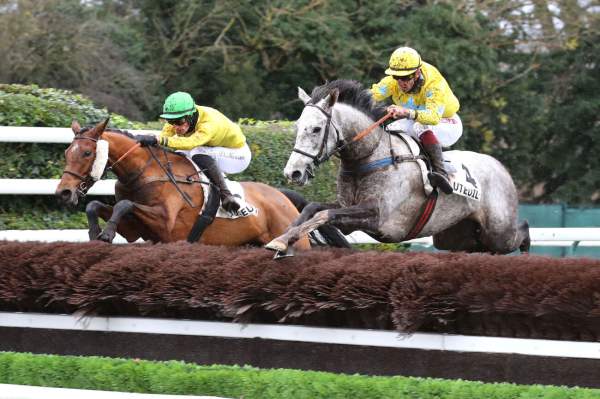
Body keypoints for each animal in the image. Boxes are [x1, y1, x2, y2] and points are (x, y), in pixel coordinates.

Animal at [55, 118, 342, 253]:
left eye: (87, 153)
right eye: (67, 151)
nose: (64, 192)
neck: (144, 172)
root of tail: (282, 197)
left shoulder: (167, 224)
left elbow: (125, 203)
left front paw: (104, 233)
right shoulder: (136, 229)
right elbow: (96, 204)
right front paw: (96, 232)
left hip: (293, 240)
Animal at [268, 80, 528, 256]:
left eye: (316, 129)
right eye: (298, 126)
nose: (293, 172)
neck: (369, 157)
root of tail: (500, 167)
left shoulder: (378, 217)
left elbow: (324, 215)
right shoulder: (348, 209)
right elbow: (312, 208)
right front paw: (282, 238)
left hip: (498, 231)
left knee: (522, 230)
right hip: (455, 236)